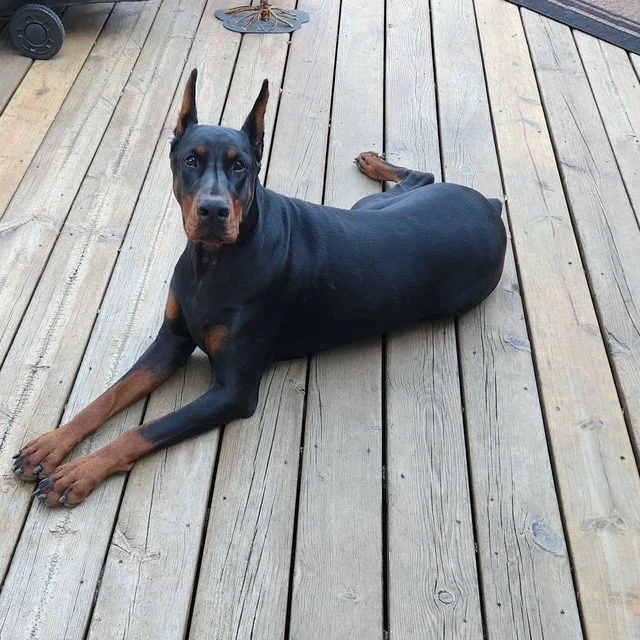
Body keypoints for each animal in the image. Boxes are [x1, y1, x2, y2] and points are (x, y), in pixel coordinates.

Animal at [13, 69, 506, 506]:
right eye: (191, 159)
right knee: (422, 176)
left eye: (241, 166)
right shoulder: (171, 340)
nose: (213, 211)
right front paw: (51, 445)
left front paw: (77, 474)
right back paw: (373, 161)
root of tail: (489, 208)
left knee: (425, 176)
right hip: (371, 206)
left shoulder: (232, 391)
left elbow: (141, 430)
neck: (212, 264)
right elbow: (106, 397)